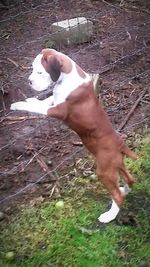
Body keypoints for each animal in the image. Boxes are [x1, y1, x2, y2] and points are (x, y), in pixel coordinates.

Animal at [10, 48, 137, 224]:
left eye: (40, 71)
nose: (29, 81)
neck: (67, 77)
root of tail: (121, 143)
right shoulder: (54, 100)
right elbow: (46, 100)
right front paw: (31, 100)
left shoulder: (57, 111)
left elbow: (41, 107)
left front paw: (18, 105)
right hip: (117, 165)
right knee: (129, 179)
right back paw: (125, 190)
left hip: (104, 171)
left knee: (117, 196)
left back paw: (109, 215)